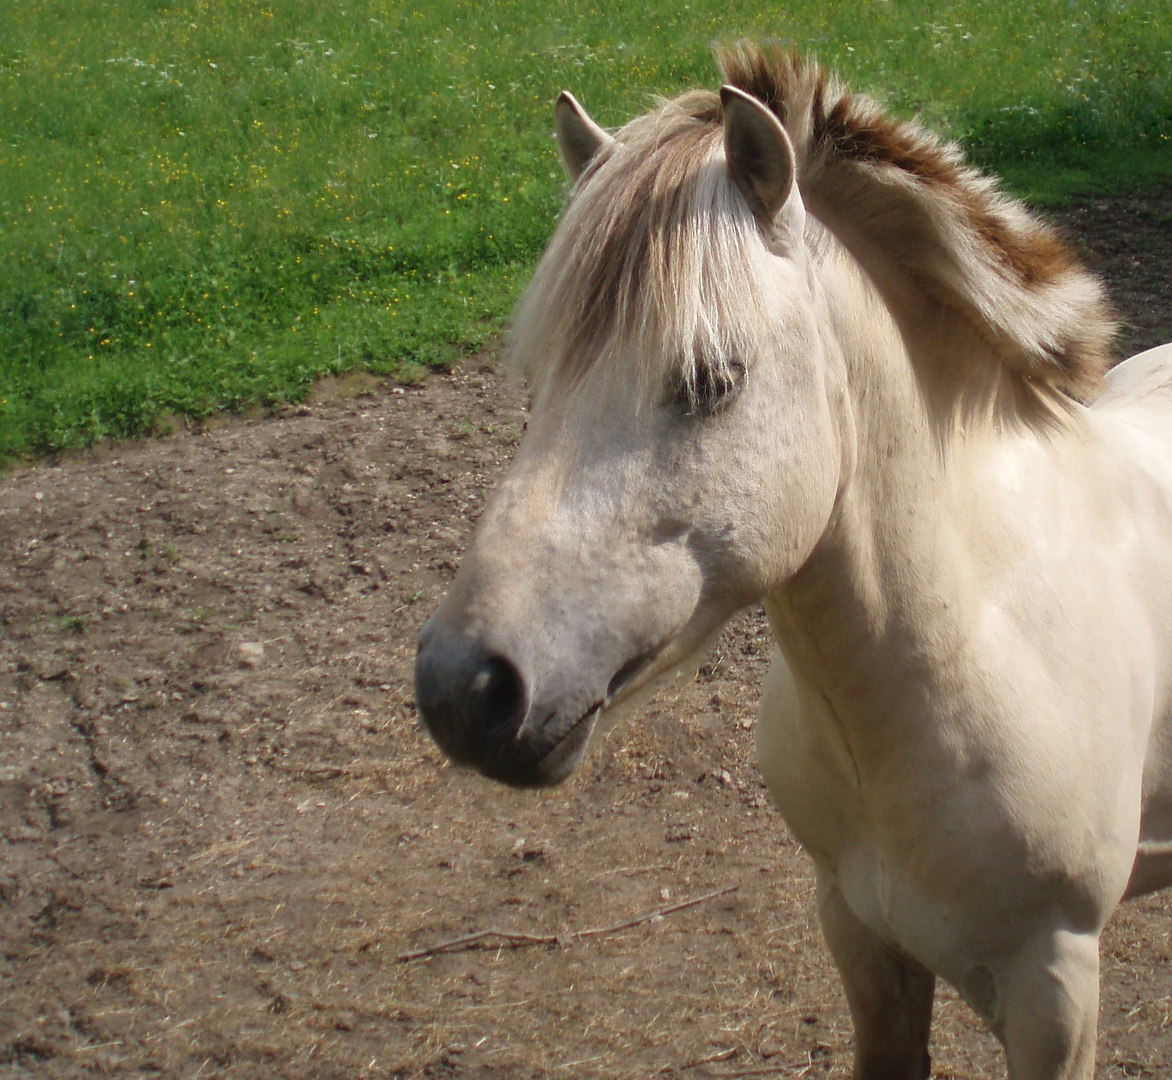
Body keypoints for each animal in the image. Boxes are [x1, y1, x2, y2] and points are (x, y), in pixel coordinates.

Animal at [410, 44, 1172, 1077]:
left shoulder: (1055, 991)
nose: (464, 688)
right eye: (540, 382)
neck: (982, 644)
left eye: (711, 379)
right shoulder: (858, 934)